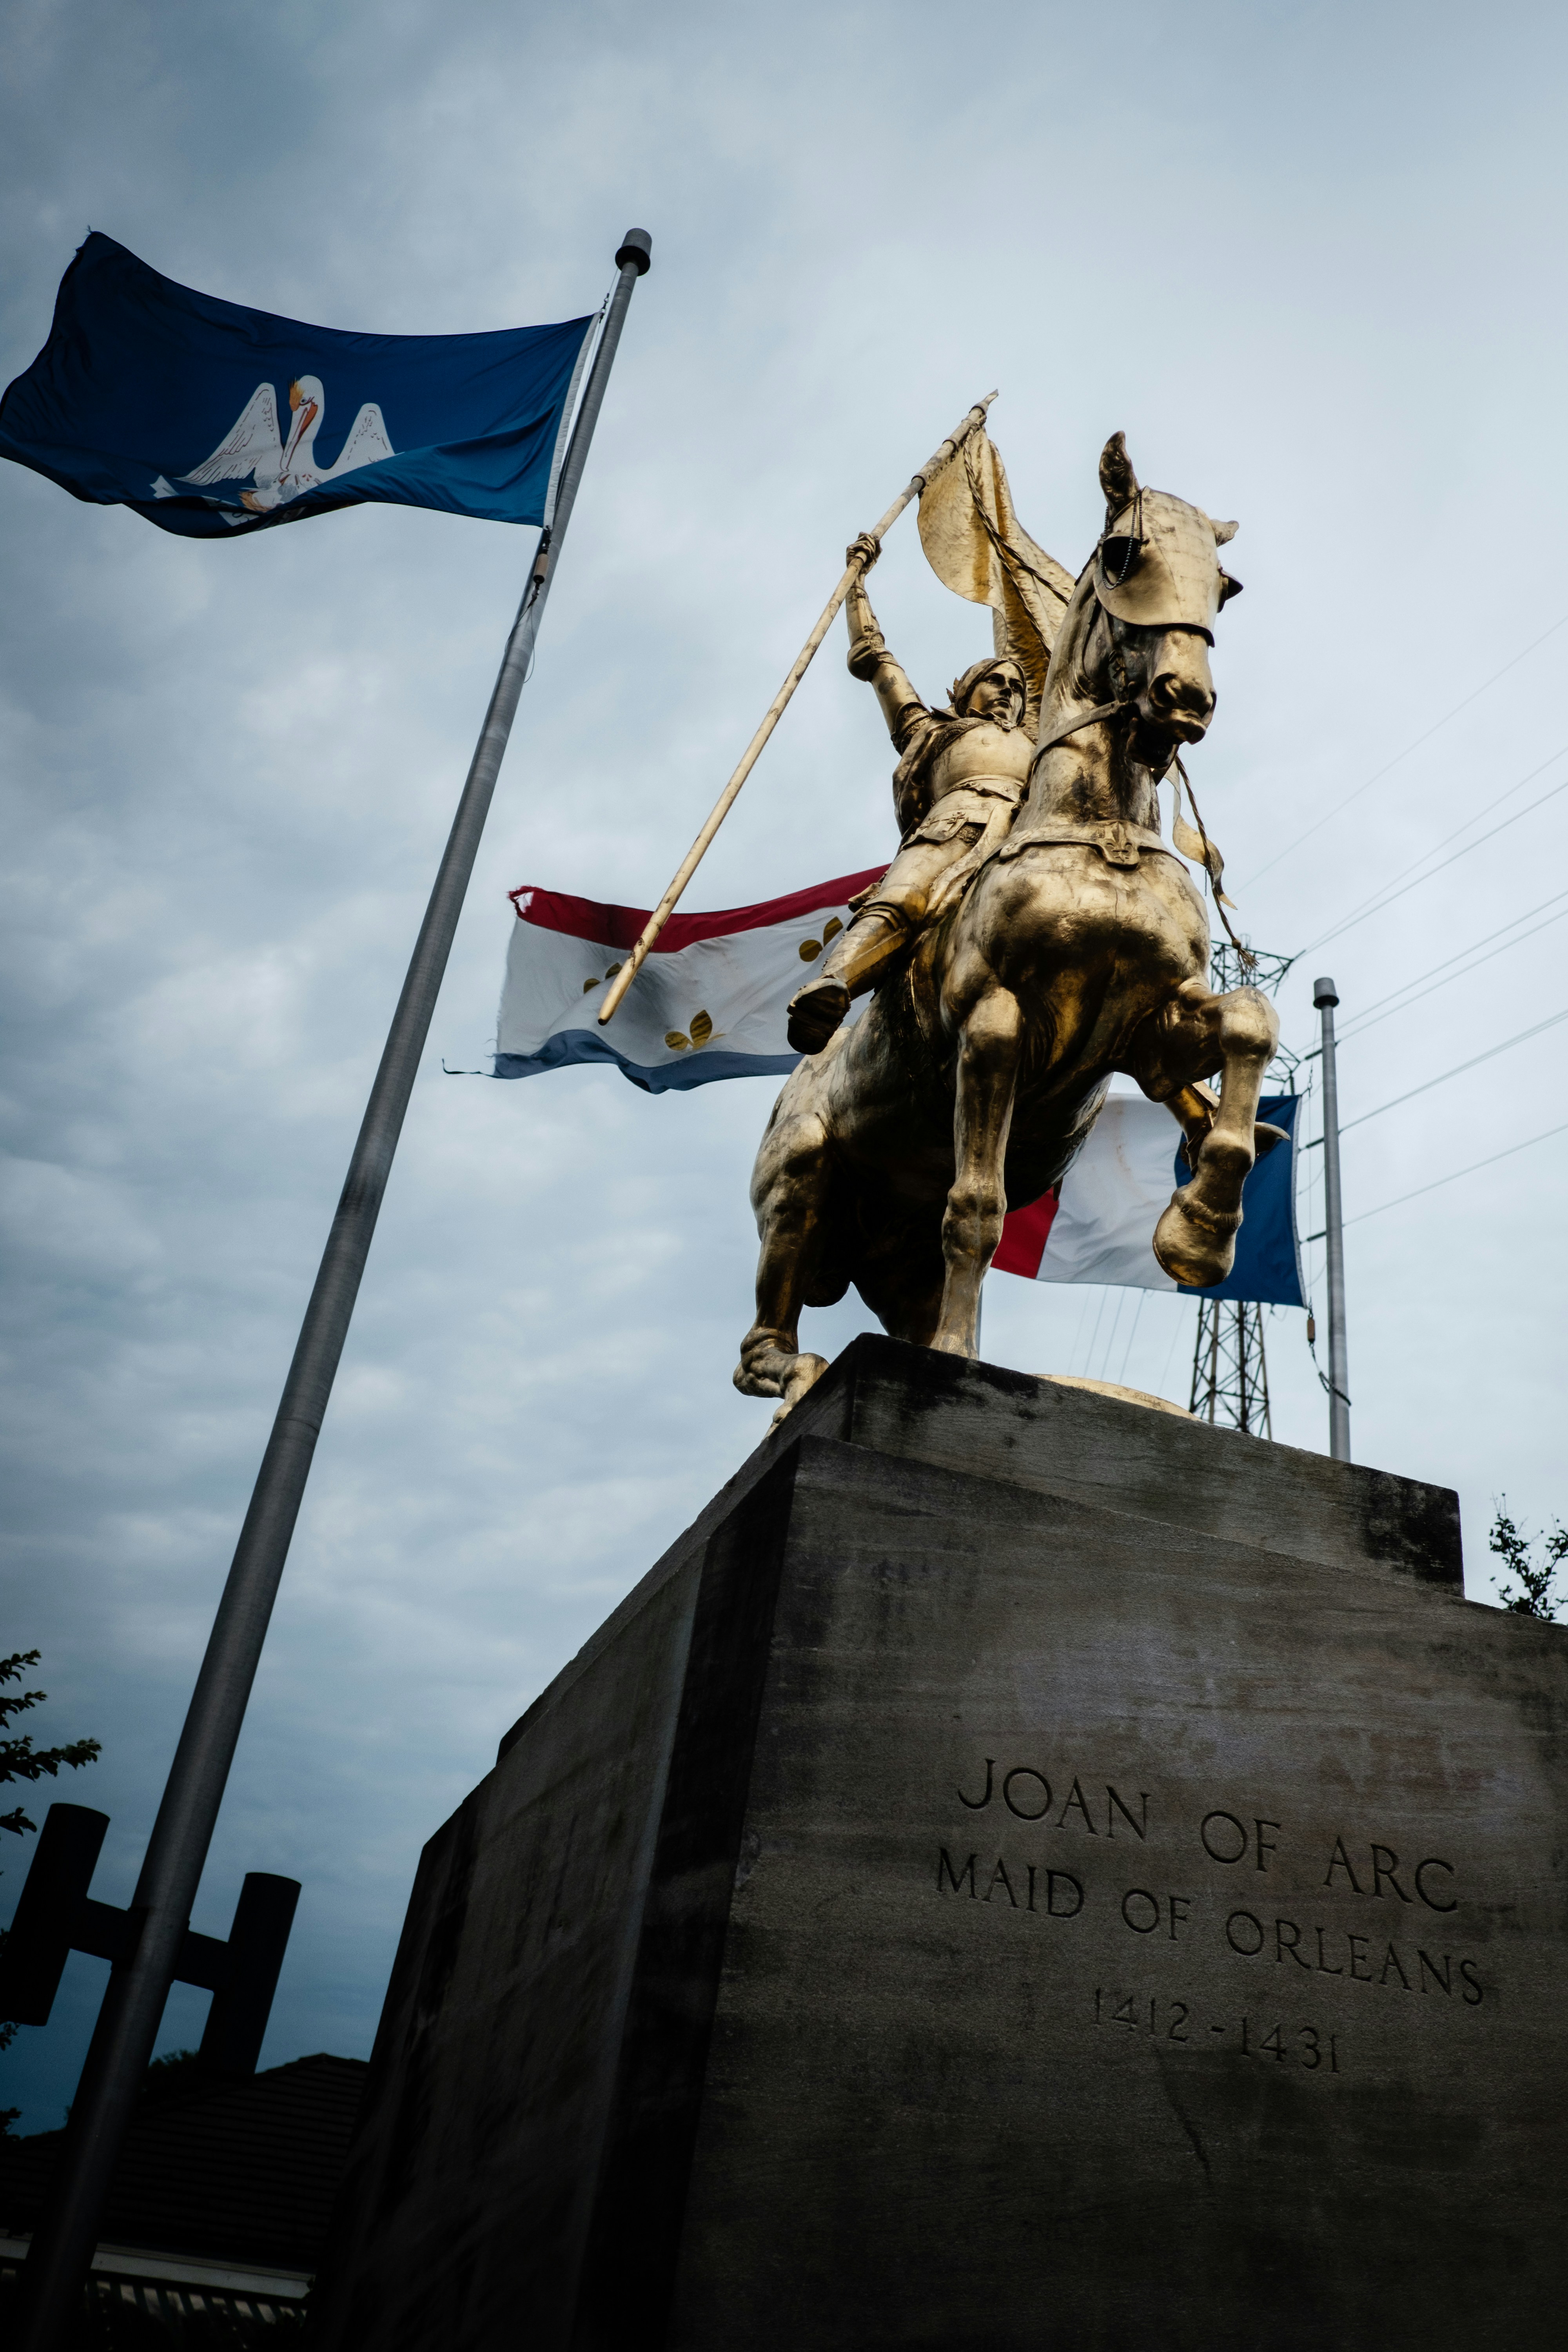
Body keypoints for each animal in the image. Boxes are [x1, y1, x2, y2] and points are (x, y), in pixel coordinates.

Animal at [738, 430, 1279, 1411]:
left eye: (1225, 586)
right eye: (1122, 554)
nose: (1184, 697)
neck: (1096, 832)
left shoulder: (1151, 1026)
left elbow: (1252, 1020)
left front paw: (1198, 1232)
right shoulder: (995, 1024)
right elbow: (977, 1209)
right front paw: (956, 1366)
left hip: (894, 1254)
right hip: (800, 1183)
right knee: (761, 1345)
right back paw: (805, 1373)